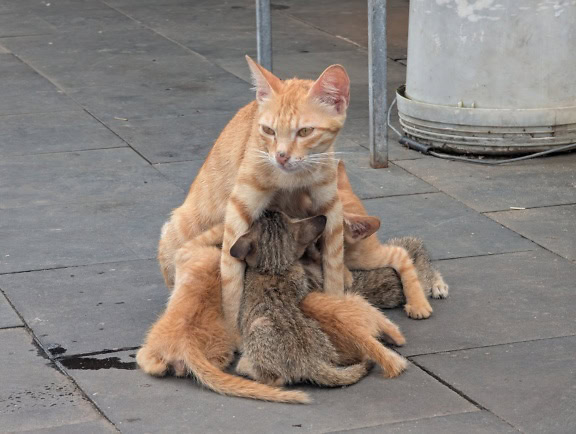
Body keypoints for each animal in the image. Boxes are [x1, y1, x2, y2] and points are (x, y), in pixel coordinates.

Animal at [232, 210, 372, 386]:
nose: (268, 210)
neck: (276, 268)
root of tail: (310, 362)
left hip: (258, 327)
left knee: (275, 379)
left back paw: (244, 366)